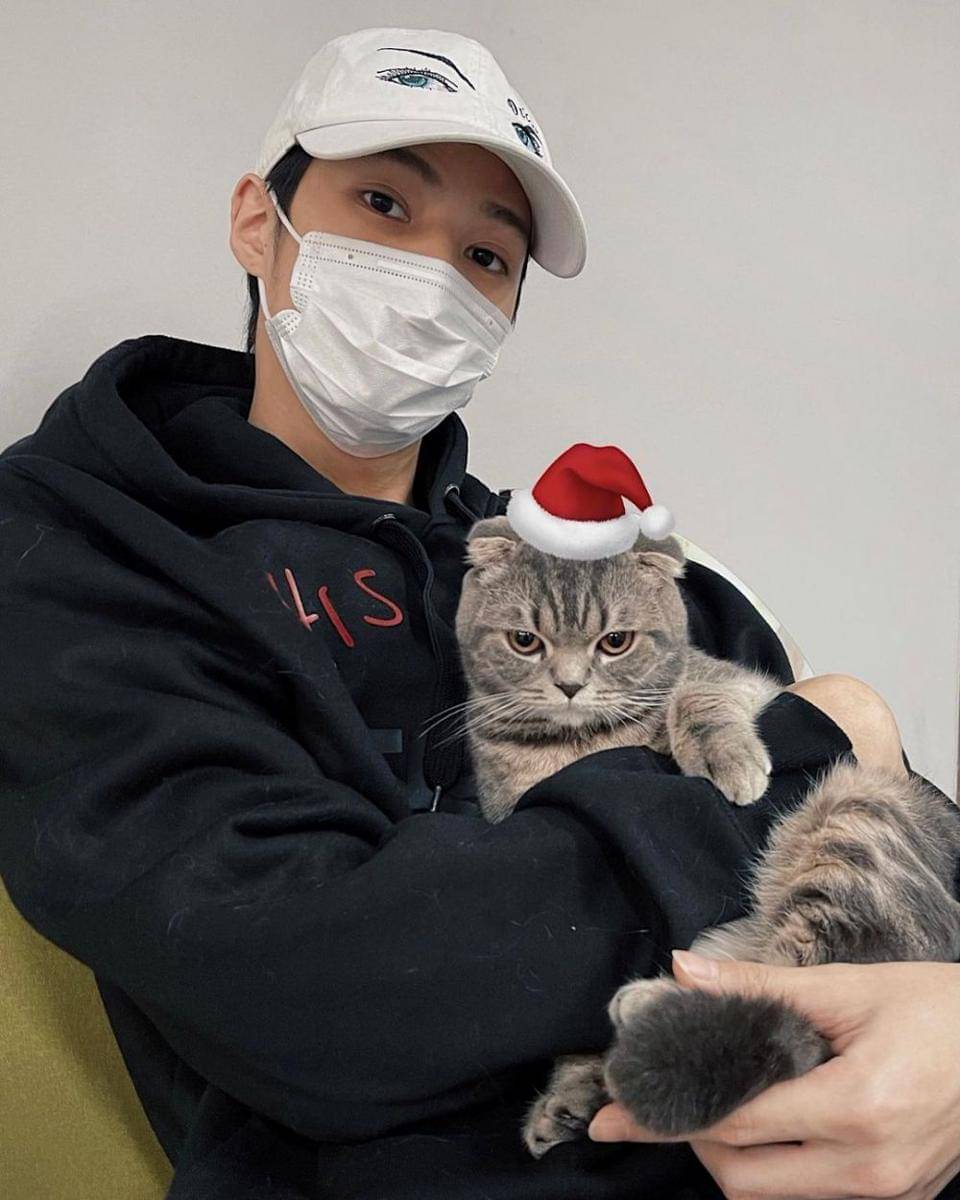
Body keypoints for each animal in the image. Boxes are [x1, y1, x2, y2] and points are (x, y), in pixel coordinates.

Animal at [443, 514, 960, 1159]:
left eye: (615, 642)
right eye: (524, 641)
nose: (568, 684)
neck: (580, 744)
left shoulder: (741, 684)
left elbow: (696, 695)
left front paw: (726, 758)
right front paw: (570, 1088)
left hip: (854, 826)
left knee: (801, 975)